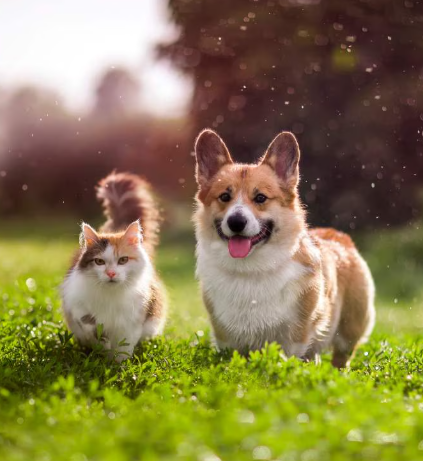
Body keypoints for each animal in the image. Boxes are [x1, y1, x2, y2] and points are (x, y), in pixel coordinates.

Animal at [61, 171, 167, 362]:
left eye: (123, 260)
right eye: (99, 262)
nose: (111, 273)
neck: (111, 296)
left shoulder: (133, 321)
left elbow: (123, 349)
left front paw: (117, 366)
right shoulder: (75, 303)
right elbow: (91, 324)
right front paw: (102, 347)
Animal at [194, 128, 376, 366]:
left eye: (260, 198)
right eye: (224, 196)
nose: (236, 222)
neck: (250, 269)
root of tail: (339, 235)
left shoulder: (295, 336)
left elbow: (289, 358)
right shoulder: (225, 337)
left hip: (349, 330)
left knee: (341, 358)